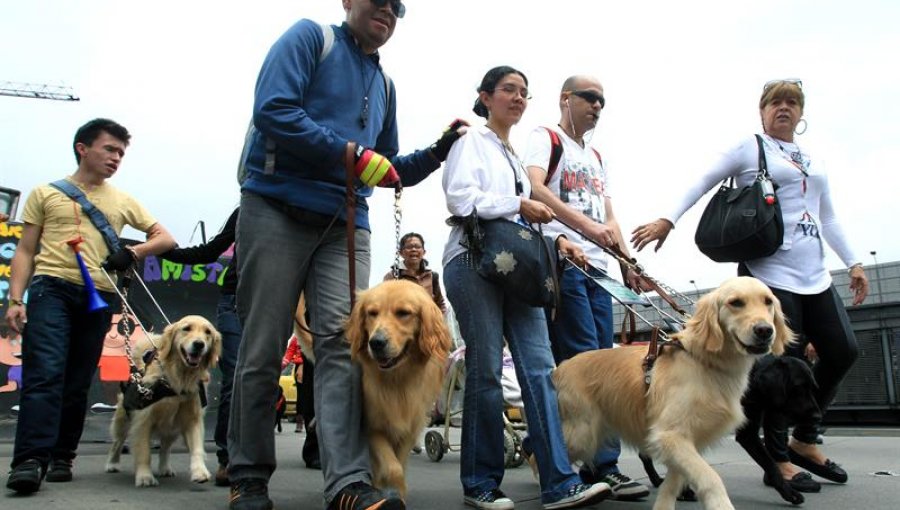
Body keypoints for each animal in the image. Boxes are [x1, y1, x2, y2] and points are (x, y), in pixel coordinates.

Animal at [105, 314, 221, 486]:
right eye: (186, 328)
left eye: (208, 332)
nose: (199, 344)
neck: (178, 379)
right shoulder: (143, 420)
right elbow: (144, 451)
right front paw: (145, 476)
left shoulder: (192, 418)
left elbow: (197, 448)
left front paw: (199, 471)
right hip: (123, 419)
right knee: (117, 442)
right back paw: (112, 464)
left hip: (172, 427)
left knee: (165, 448)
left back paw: (165, 468)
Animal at [346, 278, 454, 498]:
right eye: (372, 313)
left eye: (403, 313)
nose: (376, 343)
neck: (397, 381)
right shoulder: (372, 426)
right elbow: (392, 468)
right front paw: (383, 489)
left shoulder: (410, 428)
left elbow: (400, 466)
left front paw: (398, 493)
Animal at [552, 276, 792, 510]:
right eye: (736, 303)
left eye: (768, 302)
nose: (765, 330)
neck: (704, 360)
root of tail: (560, 367)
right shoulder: (670, 435)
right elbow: (710, 477)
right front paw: (720, 504)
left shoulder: (686, 440)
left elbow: (673, 484)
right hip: (581, 433)